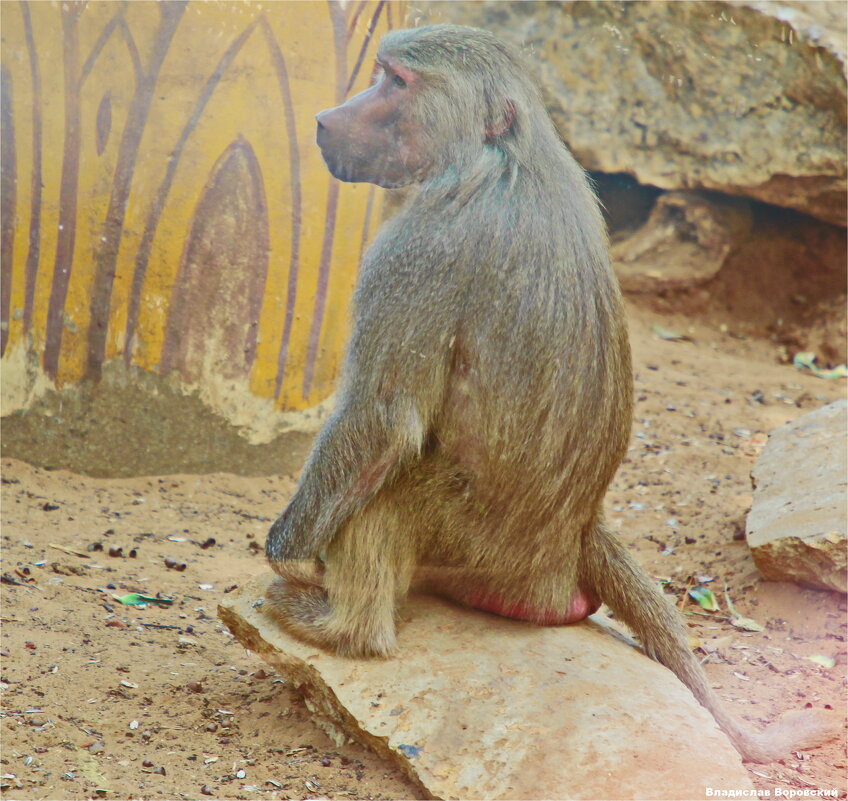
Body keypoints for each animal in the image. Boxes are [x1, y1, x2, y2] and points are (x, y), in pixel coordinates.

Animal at [264, 23, 836, 764]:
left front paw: (287, 551)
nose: (325, 121)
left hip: (471, 540)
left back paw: (339, 628)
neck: (504, 154)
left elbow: (383, 418)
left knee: (383, 491)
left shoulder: (420, 245)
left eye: (395, 81)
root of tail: (575, 532)